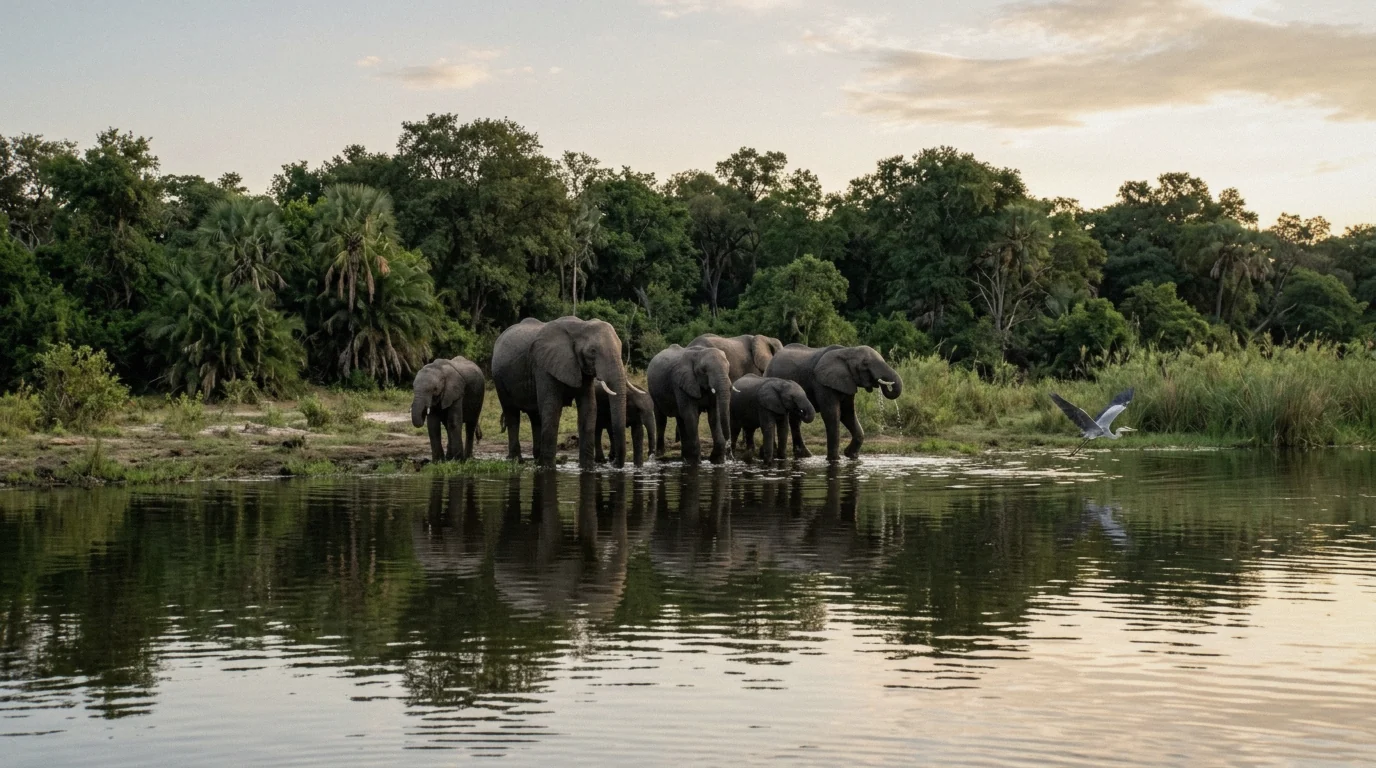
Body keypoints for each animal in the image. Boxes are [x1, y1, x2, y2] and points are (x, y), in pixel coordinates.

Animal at [491, 316, 628, 469]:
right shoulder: (544, 366)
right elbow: (552, 409)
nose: (613, 463)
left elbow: (589, 409)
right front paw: (548, 468)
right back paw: (516, 460)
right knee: (512, 414)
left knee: (536, 416)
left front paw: (587, 468)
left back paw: (537, 460)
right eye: (592, 351)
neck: (581, 325)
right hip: (499, 378)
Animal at [764, 344, 903, 461]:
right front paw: (834, 460)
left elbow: (847, 414)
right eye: (865, 363)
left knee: (795, 420)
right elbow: (832, 414)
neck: (848, 351)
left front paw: (851, 455)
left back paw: (804, 456)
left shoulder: (848, 382)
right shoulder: (821, 383)